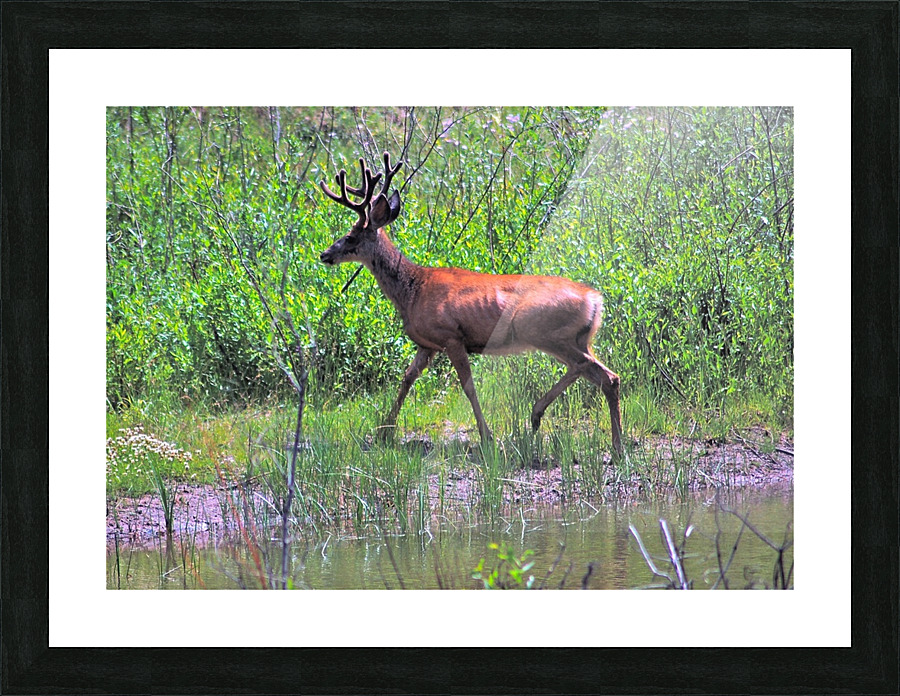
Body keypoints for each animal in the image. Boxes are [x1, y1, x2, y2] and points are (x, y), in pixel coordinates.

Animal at [319, 152, 624, 457]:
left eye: (350, 236)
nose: (324, 254)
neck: (412, 290)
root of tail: (594, 299)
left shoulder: (451, 336)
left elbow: (468, 387)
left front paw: (486, 436)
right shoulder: (427, 344)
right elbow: (407, 378)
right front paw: (384, 431)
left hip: (543, 331)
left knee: (593, 370)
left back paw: (608, 443)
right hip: (577, 338)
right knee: (600, 373)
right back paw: (552, 420)